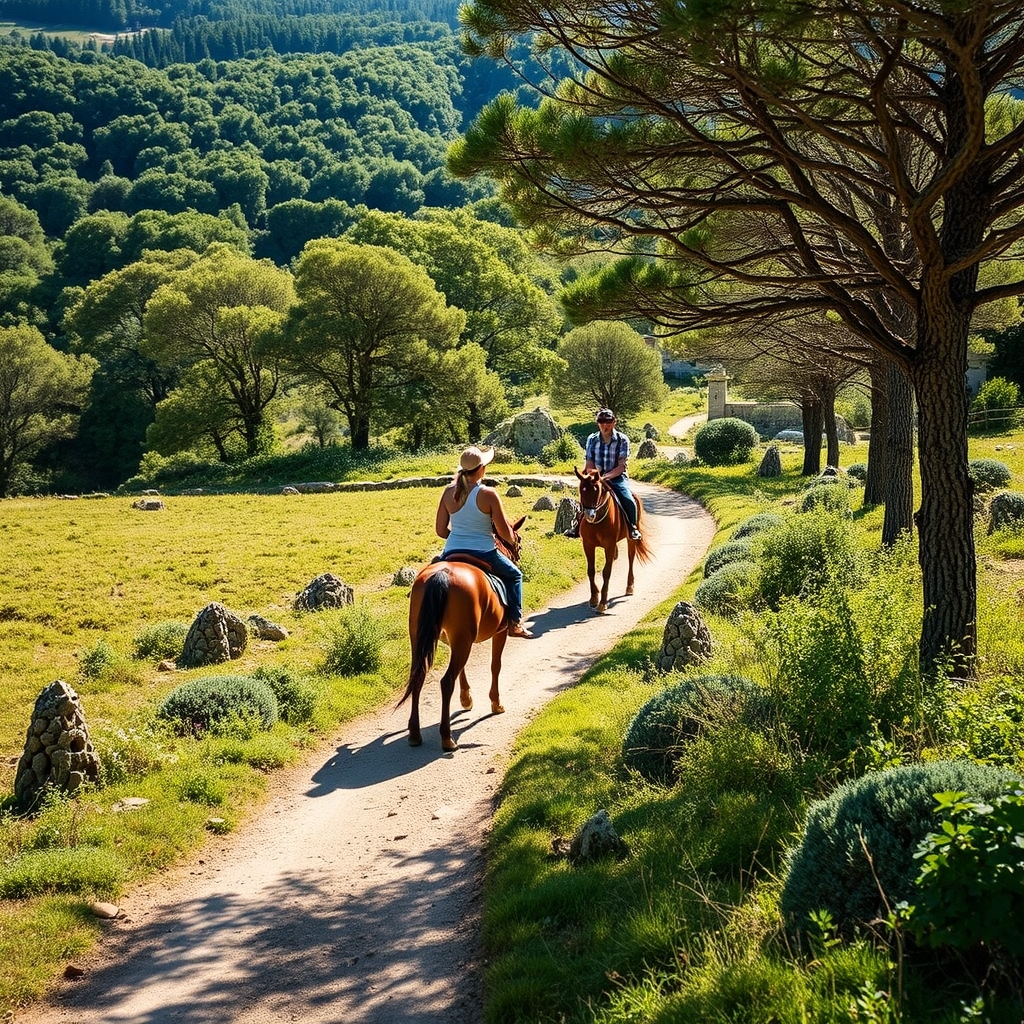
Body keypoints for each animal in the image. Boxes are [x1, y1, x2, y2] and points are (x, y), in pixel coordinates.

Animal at [398, 517, 527, 751]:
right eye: (518, 539)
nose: (517, 553)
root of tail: (441, 575)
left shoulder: (455, 639)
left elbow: (462, 669)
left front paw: (466, 699)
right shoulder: (499, 633)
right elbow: (495, 666)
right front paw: (496, 703)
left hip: (422, 638)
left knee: (418, 677)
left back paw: (414, 733)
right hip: (463, 639)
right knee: (446, 681)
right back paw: (447, 737)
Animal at [574, 467, 651, 613]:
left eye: (597, 490)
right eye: (581, 489)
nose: (589, 515)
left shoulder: (609, 546)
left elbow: (606, 572)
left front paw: (603, 603)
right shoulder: (588, 545)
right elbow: (591, 571)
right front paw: (594, 598)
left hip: (630, 540)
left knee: (630, 559)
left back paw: (630, 586)